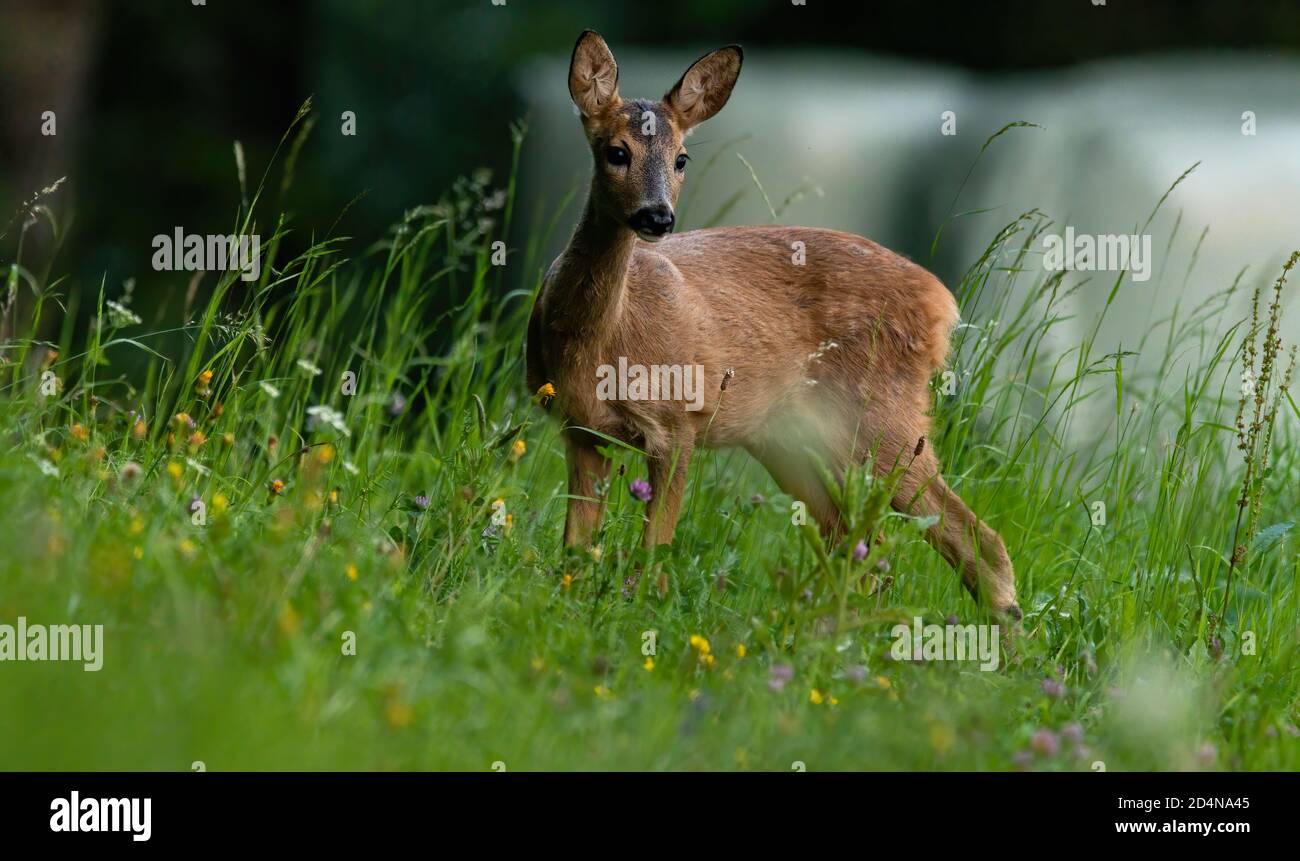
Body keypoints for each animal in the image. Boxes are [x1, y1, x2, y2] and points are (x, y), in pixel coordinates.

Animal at [522, 32, 1019, 621]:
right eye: (616, 151)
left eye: (682, 157)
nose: (658, 218)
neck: (601, 343)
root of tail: (943, 304)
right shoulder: (579, 429)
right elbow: (575, 552)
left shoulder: (679, 420)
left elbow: (654, 550)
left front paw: (642, 610)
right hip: (795, 443)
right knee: (860, 548)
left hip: (886, 419)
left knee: (977, 540)